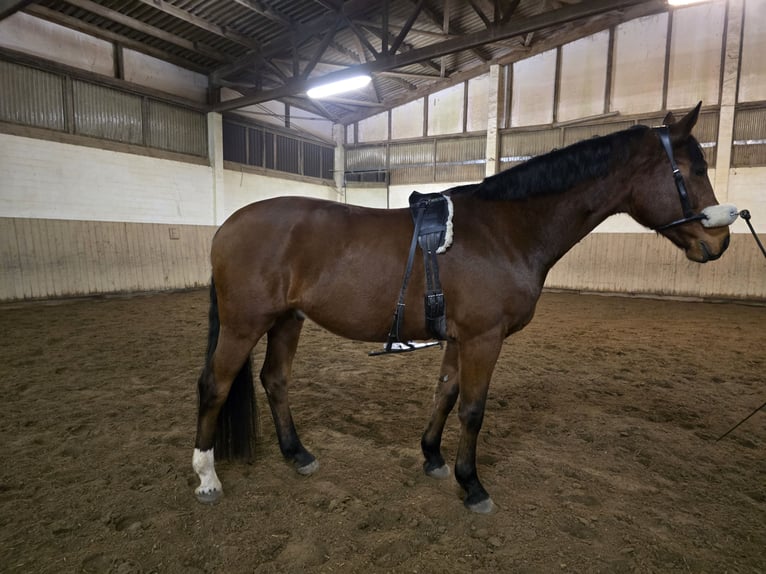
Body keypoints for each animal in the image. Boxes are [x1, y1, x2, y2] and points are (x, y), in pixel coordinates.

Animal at [192, 103, 736, 513]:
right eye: (694, 169)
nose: (720, 241)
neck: (504, 231)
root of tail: (226, 226)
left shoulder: (459, 338)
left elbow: (446, 393)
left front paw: (432, 457)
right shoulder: (483, 337)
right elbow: (473, 409)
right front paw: (471, 484)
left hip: (287, 321)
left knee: (275, 381)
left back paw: (296, 454)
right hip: (243, 324)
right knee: (214, 386)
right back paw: (207, 477)